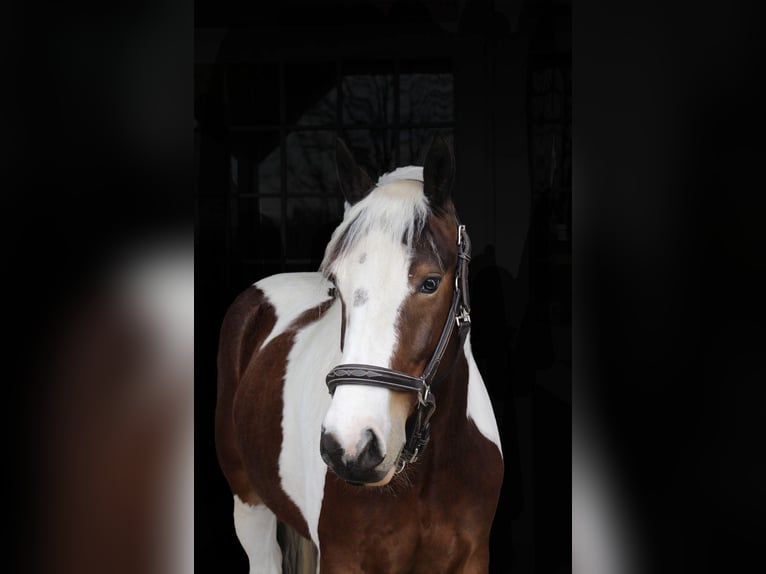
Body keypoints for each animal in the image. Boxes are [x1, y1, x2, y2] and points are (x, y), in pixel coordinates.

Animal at [214, 137, 504, 572]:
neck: (427, 475)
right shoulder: (340, 558)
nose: (351, 448)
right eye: (336, 285)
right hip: (250, 506)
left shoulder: (473, 557)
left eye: (431, 283)